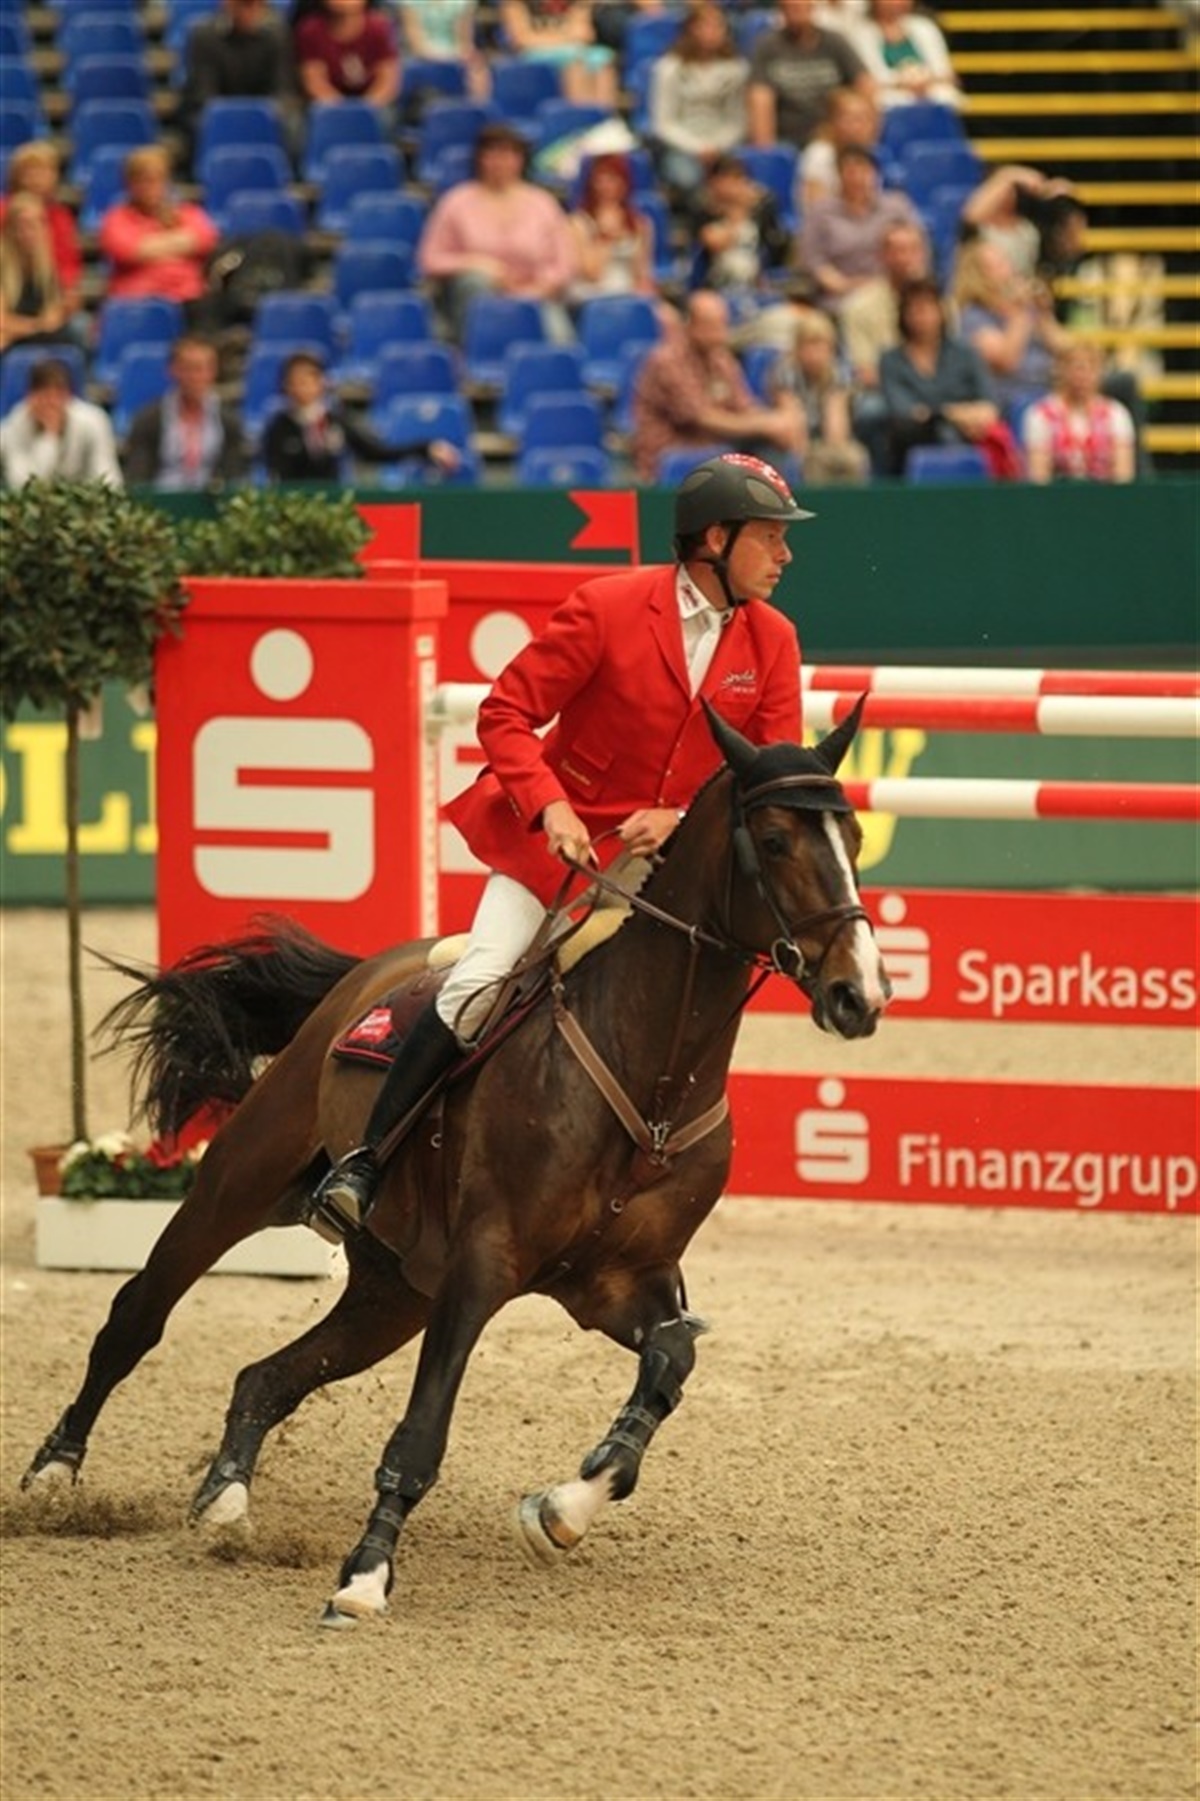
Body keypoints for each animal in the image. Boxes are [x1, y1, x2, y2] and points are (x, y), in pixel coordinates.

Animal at [22, 704, 889, 1626]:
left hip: (394, 1290)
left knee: (267, 1377)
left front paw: (562, 1507)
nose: (860, 995)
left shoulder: (620, 1282)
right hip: (240, 1184)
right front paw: (365, 1575)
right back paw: (53, 1474)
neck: (652, 1072)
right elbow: (422, 1430)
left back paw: (224, 1500)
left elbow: (669, 1364)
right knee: (136, 1316)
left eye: (854, 836)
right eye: (777, 838)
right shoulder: (485, 1263)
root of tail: (367, 973)